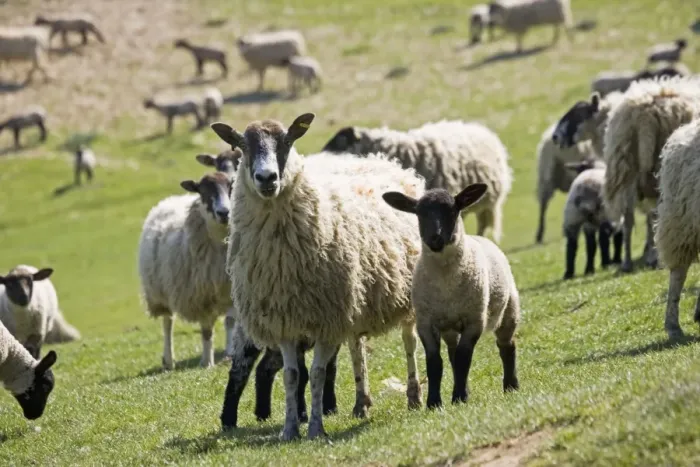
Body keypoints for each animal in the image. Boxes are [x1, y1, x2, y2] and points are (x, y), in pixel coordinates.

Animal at [211, 113, 425, 440]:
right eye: (241, 146)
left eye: (287, 141)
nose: (267, 178)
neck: (283, 260)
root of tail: (379, 161)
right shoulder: (285, 320)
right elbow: (291, 375)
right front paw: (289, 430)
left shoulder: (326, 319)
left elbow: (317, 373)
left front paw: (314, 429)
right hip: (354, 298)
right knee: (357, 348)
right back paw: (361, 403)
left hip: (404, 295)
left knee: (409, 342)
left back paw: (413, 395)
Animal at [382, 183, 520, 409]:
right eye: (419, 213)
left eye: (452, 210)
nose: (435, 238)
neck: (446, 282)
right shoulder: (426, 323)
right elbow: (435, 362)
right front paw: (434, 402)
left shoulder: (474, 320)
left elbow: (464, 358)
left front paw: (459, 397)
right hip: (449, 327)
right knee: (452, 353)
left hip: (509, 310)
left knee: (507, 346)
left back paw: (510, 386)